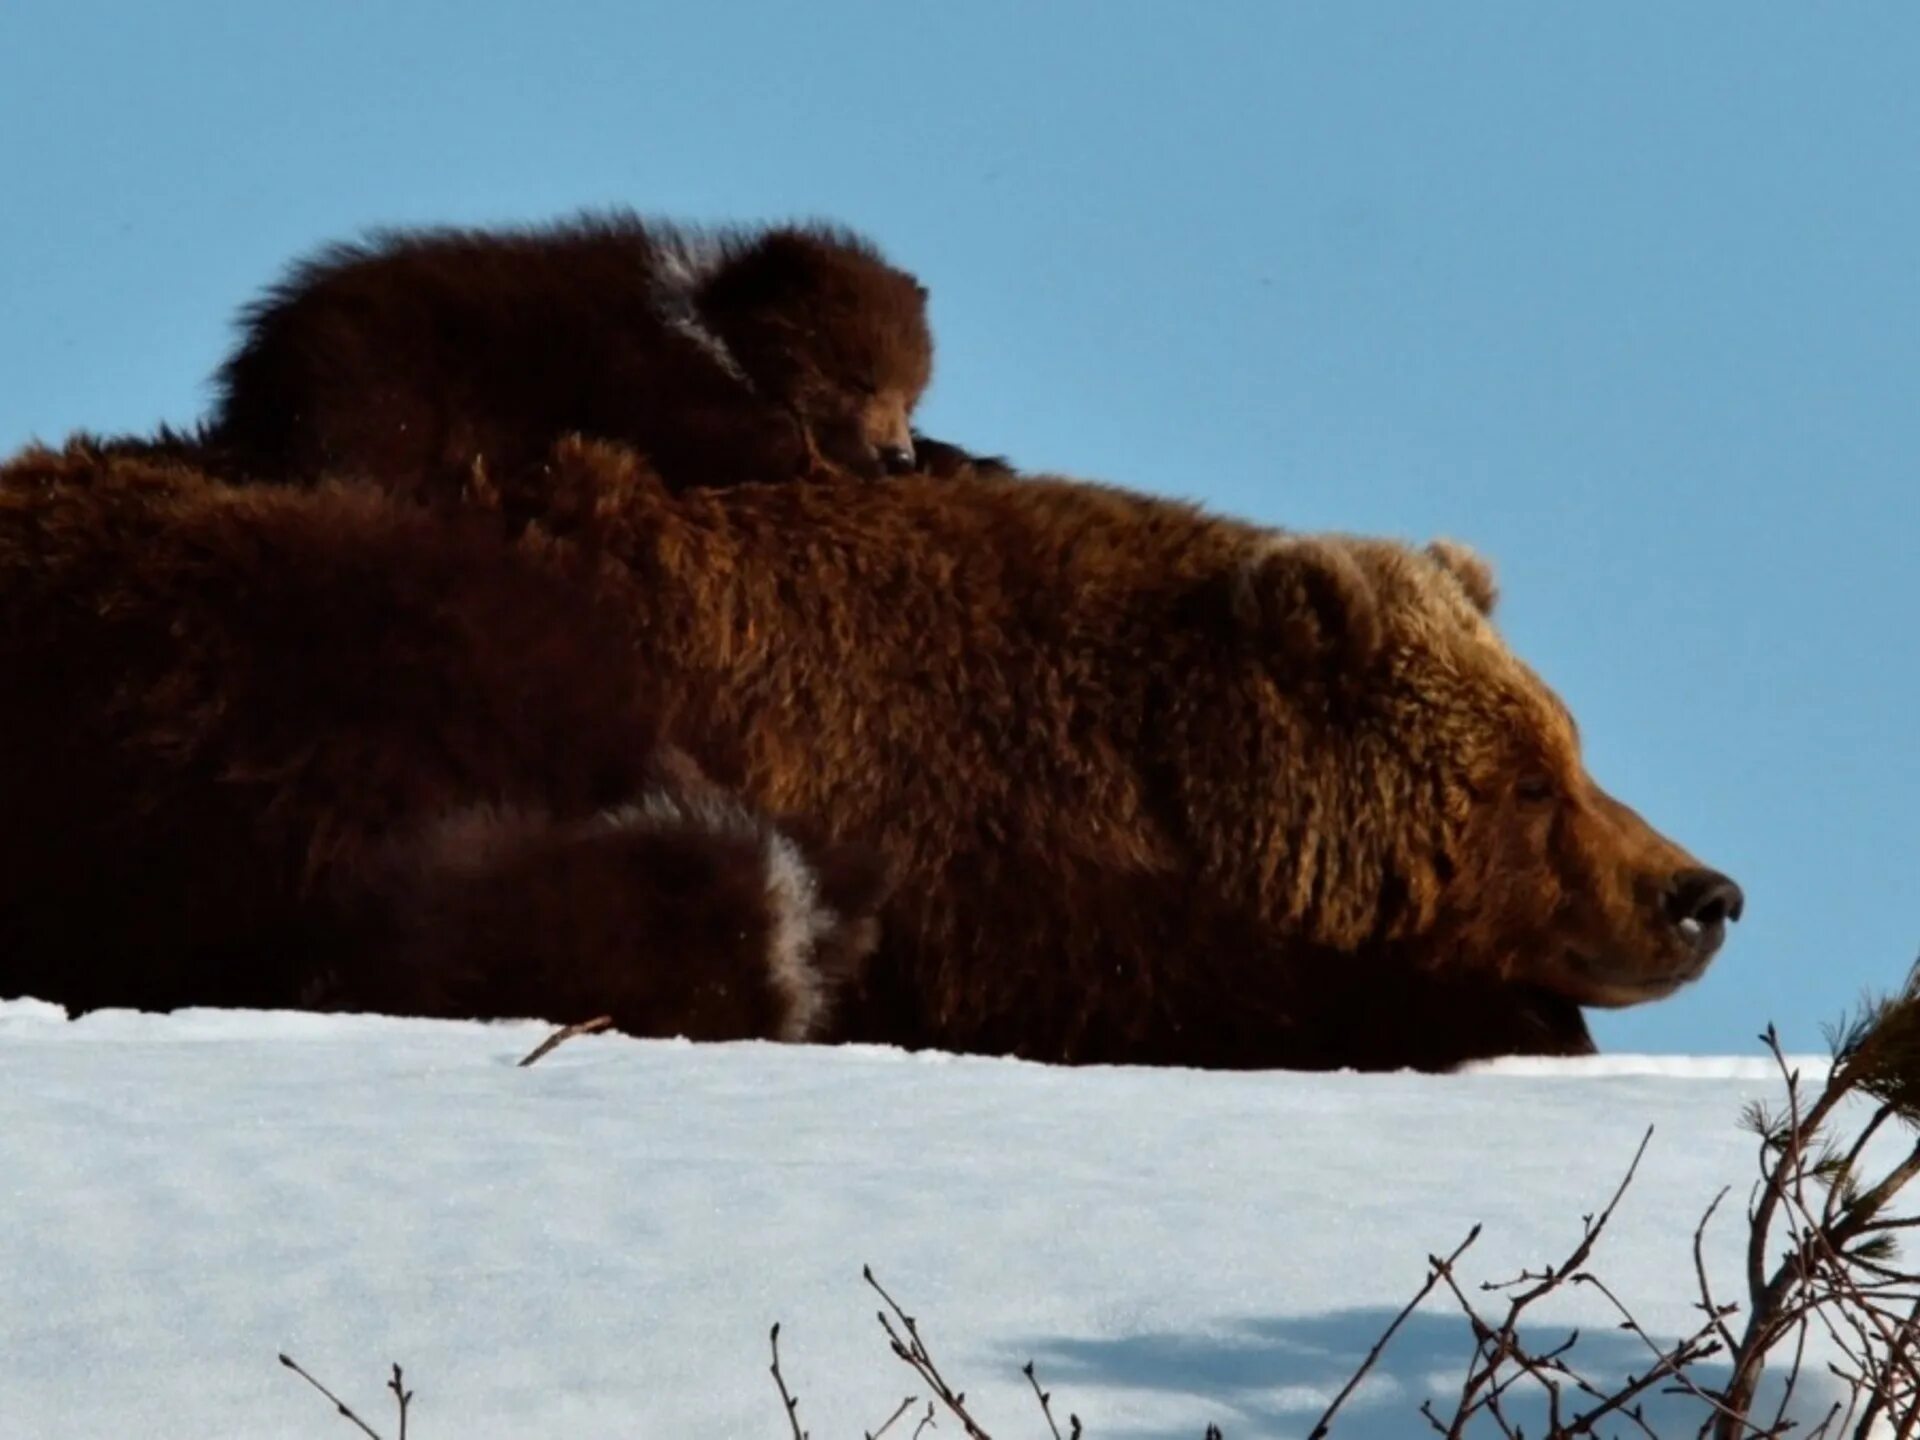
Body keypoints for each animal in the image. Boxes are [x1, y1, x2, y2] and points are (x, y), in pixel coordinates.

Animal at [204, 211, 936, 506]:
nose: (898, 456)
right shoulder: (640, 374)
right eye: (858, 378)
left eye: (911, 394)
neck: (710, 330)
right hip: (382, 385)